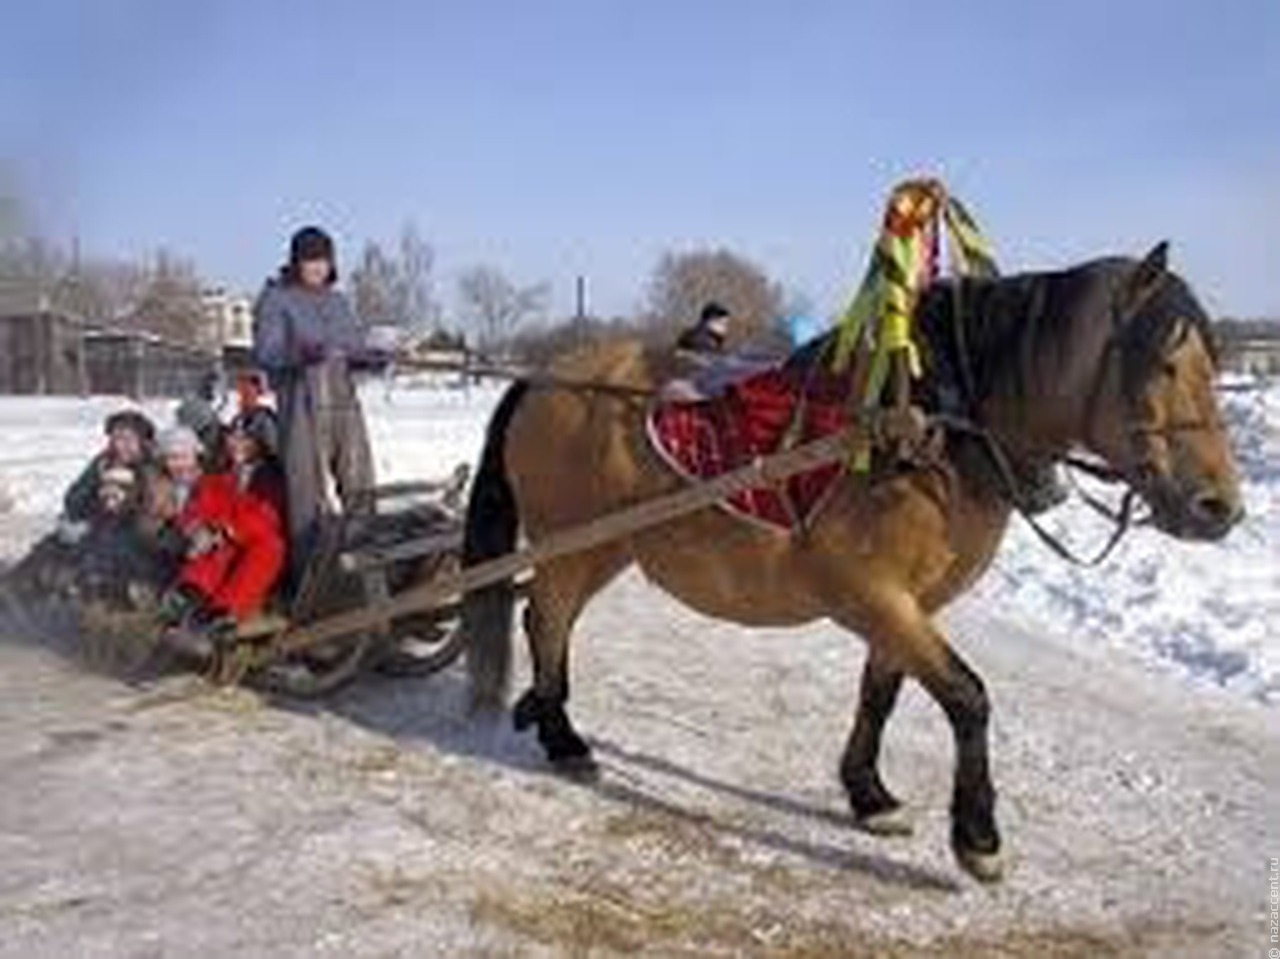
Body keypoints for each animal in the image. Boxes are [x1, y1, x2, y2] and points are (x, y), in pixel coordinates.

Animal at [458, 240, 1239, 880]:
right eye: (1164, 363)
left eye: (1215, 367)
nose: (1219, 508)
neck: (929, 431)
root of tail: (548, 378)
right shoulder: (870, 593)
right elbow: (967, 697)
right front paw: (978, 838)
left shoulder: (906, 604)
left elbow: (882, 694)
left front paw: (870, 795)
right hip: (574, 542)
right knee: (546, 619)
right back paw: (562, 737)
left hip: (605, 546)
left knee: (545, 620)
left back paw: (542, 712)